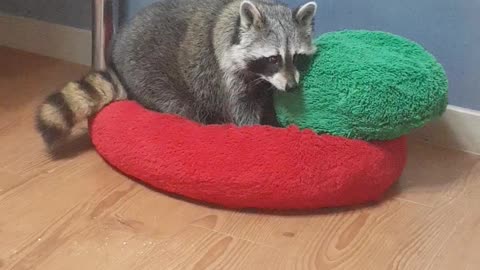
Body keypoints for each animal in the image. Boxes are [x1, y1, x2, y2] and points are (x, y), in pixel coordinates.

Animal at [34, 0, 318, 149]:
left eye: (296, 57)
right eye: (273, 59)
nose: (292, 87)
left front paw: (274, 120)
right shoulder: (226, 76)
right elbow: (241, 111)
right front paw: (259, 132)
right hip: (149, 74)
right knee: (181, 105)